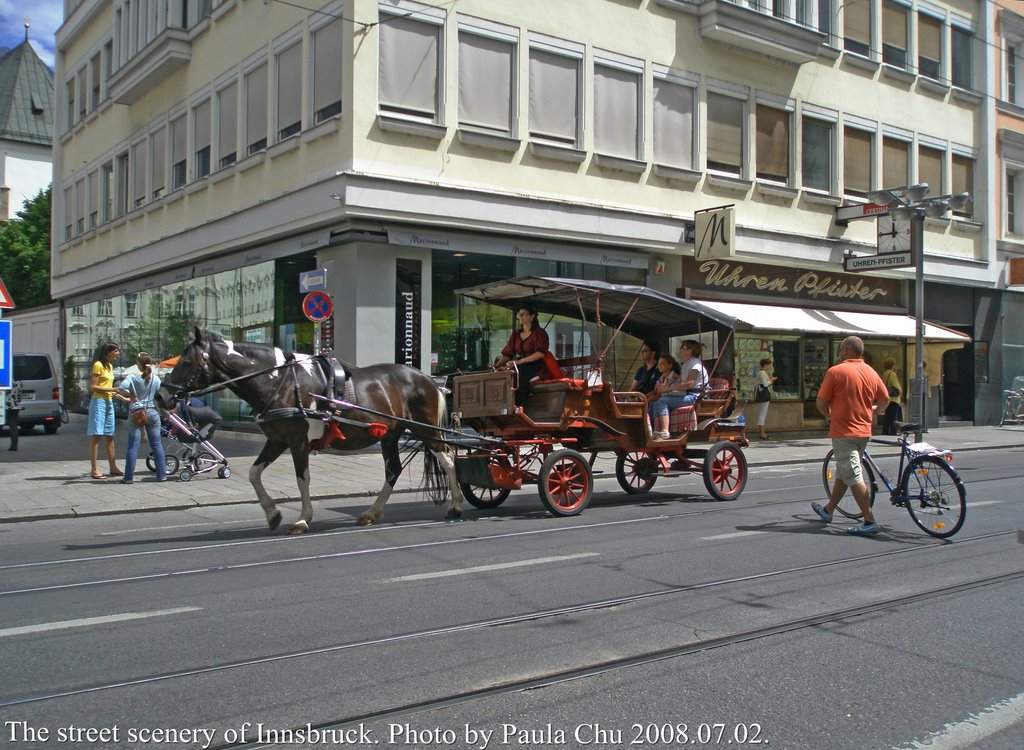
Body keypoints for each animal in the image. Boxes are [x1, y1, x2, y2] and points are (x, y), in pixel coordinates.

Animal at [155, 327, 464, 532]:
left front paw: (303, 518)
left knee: (449, 459)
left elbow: (302, 478)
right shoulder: (276, 440)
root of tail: (428, 378)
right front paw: (273, 514)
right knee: (393, 470)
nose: (160, 397)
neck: (279, 380)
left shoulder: (297, 441)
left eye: (187, 362)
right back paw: (372, 512)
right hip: (390, 435)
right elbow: (254, 474)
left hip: (426, 431)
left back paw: (456, 505)